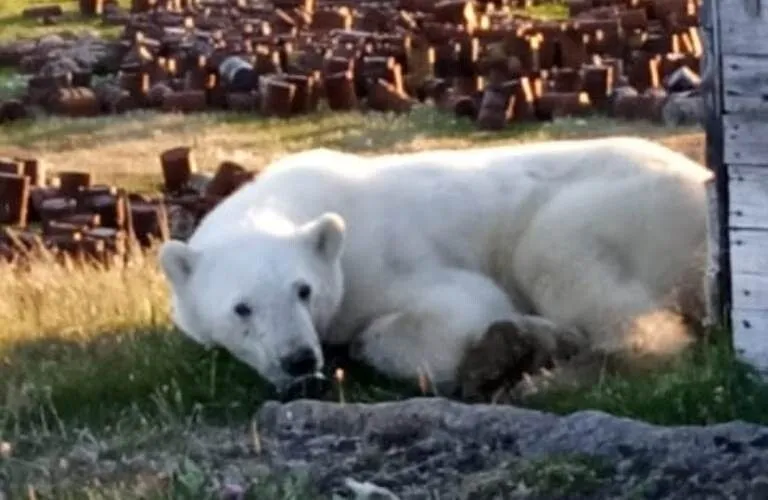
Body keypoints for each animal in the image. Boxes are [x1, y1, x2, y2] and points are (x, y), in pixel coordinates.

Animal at [159, 137, 716, 402]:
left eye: (304, 290)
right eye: (241, 308)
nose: (298, 360)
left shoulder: (383, 258)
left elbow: (457, 308)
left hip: (620, 207)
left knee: (562, 261)